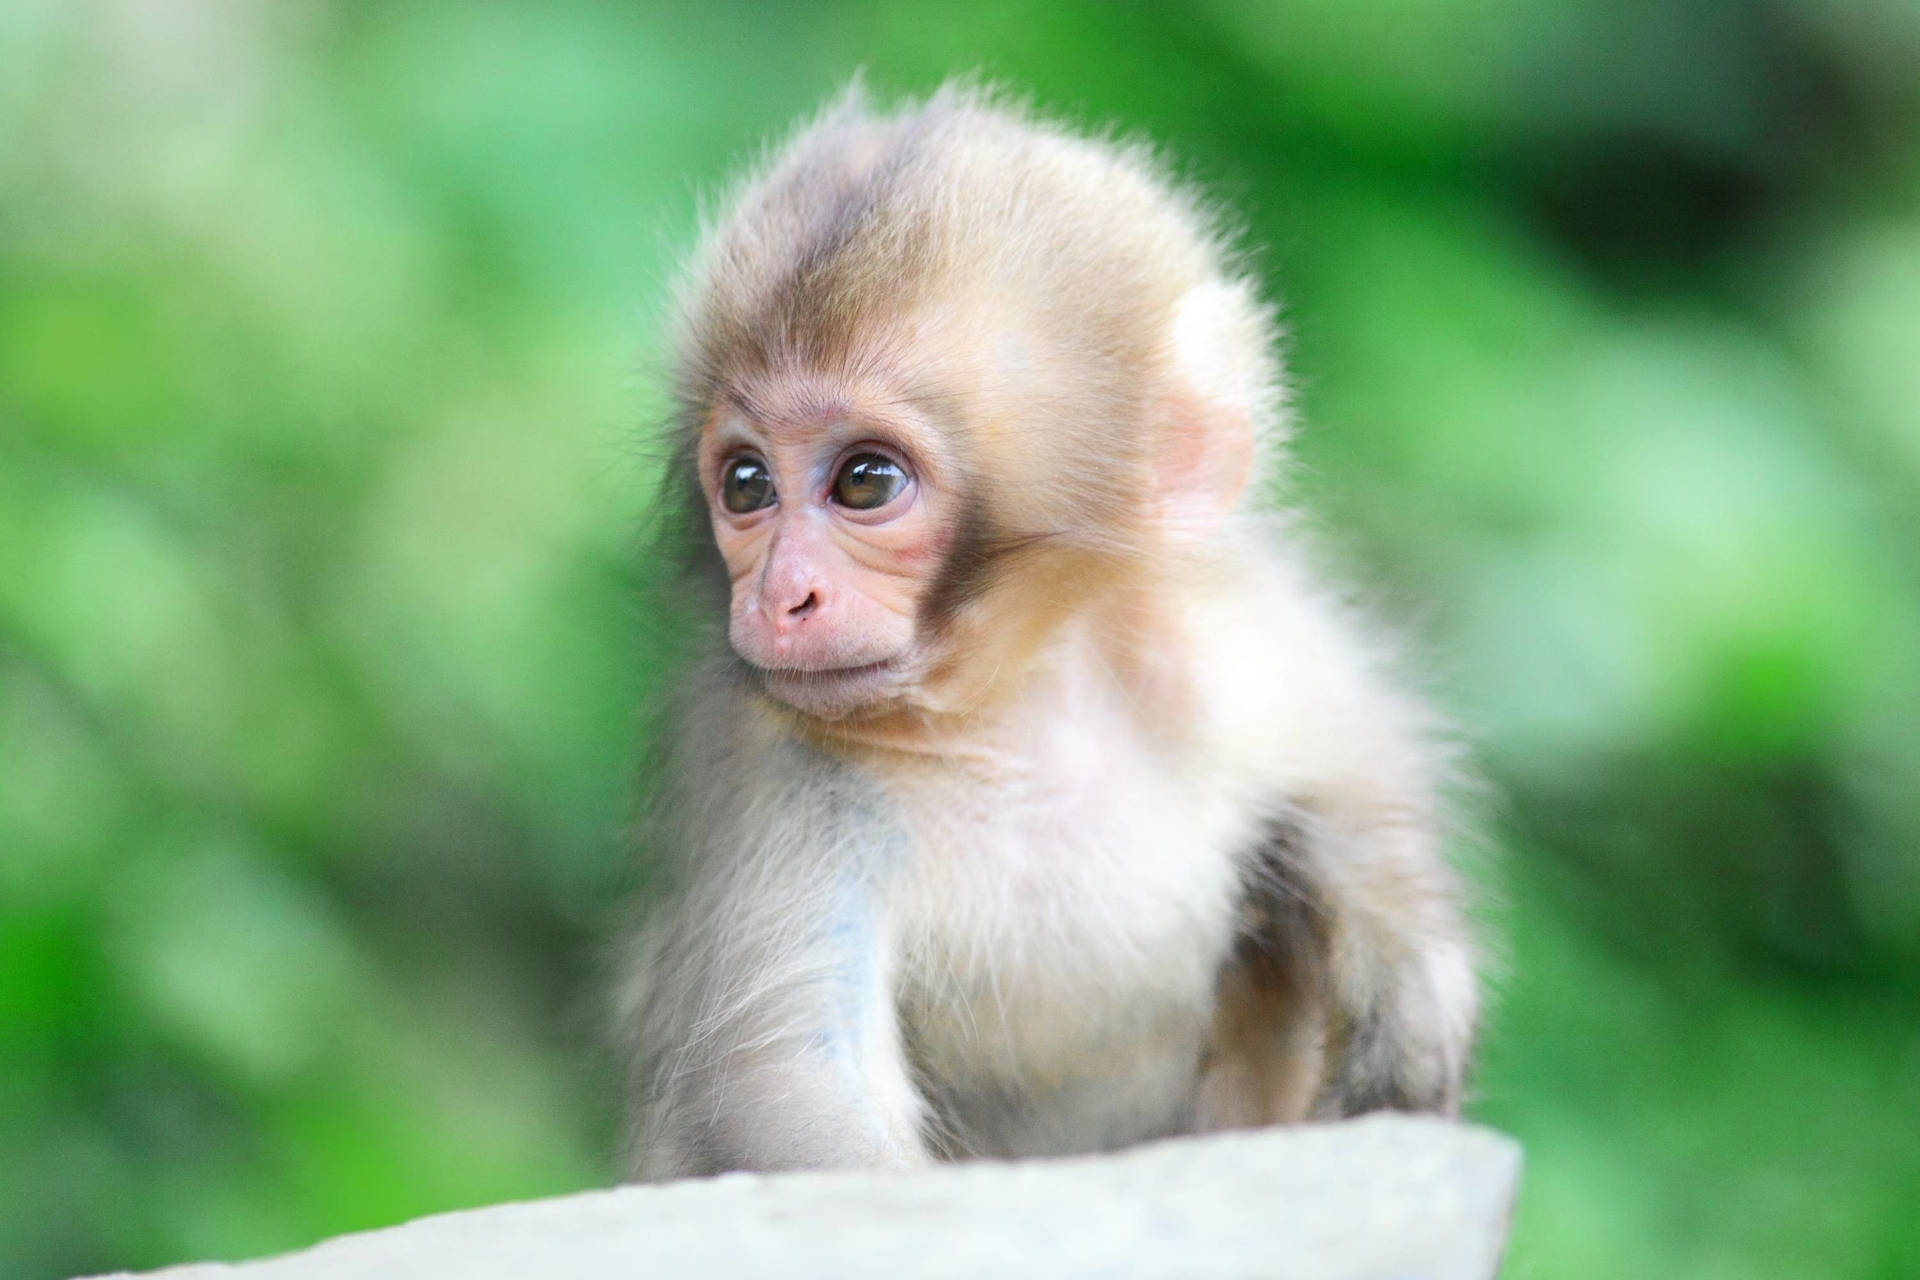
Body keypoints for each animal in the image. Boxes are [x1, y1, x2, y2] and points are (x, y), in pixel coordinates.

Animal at [619, 83, 1478, 1181]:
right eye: (744, 485)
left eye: (865, 481)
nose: (779, 596)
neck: (1018, 707)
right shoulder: (770, 758)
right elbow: (790, 1073)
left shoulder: (1228, 640)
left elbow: (1356, 768)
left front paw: (1414, 978)